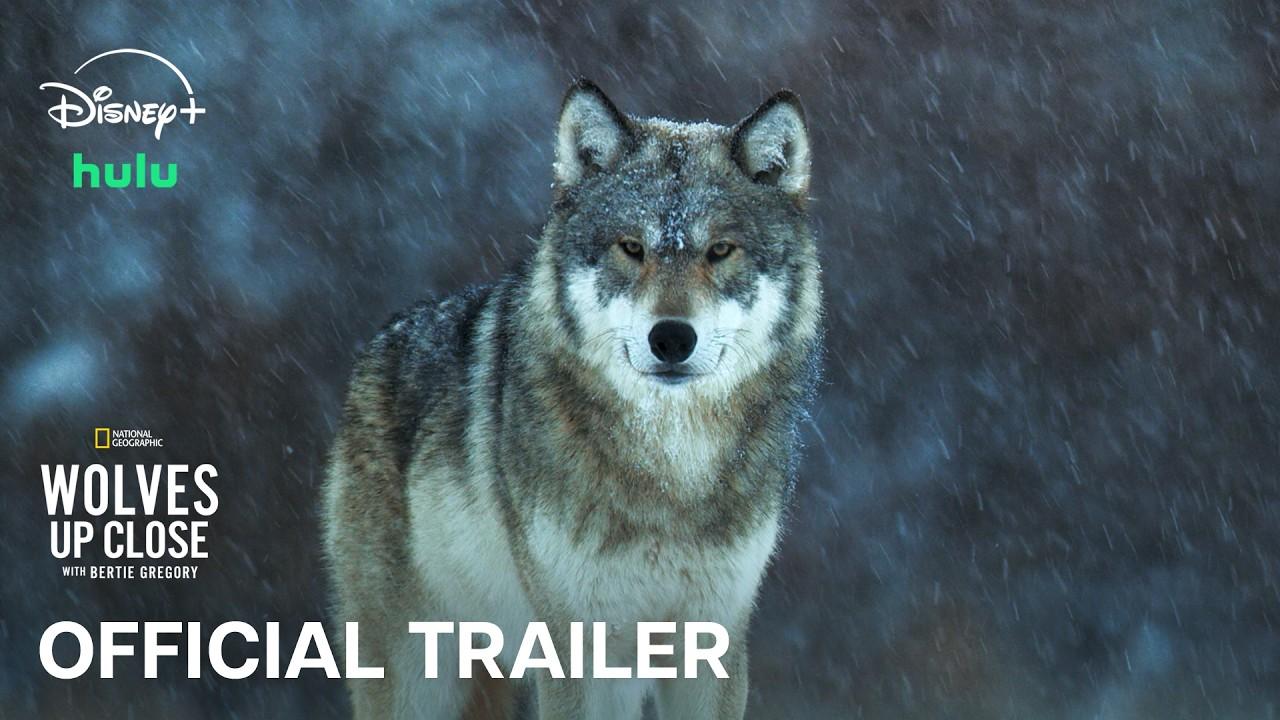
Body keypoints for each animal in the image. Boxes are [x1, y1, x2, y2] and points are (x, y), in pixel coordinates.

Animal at [323, 79, 822, 719]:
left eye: (720, 250)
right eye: (631, 248)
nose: (671, 338)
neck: (672, 471)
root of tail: (380, 342)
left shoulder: (713, 640)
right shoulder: (574, 648)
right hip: (417, 673)